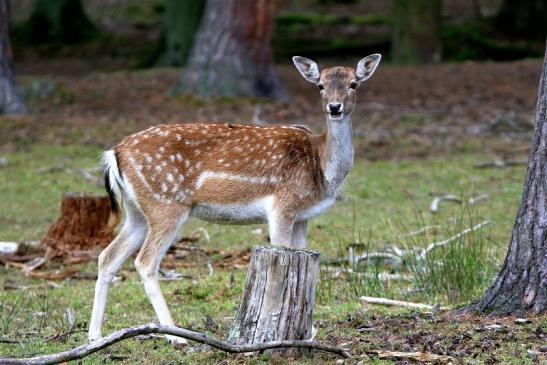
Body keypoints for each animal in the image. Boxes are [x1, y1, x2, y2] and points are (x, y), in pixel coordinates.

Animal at [89, 53, 382, 342]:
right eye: (320, 85)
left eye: (354, 83)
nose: (334, 107)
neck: (321, 168)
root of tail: (114, 153)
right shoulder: (283, 205)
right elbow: (283, 252)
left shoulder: (303, 216)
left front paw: (307, 334)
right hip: (166, 204)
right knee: (145, 261)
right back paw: (175, 334)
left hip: (137, 212)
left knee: (107, 256)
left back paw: (95, 335)